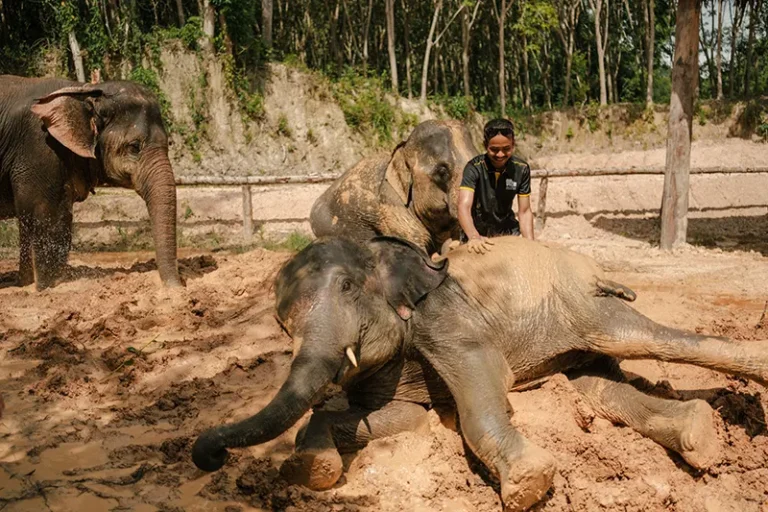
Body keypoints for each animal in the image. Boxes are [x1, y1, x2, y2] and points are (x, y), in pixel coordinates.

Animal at [0, 75, 181, 290]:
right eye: (134, 147)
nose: (178, 287)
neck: (86, 90)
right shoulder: (39, 149)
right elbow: (44, 213)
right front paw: (48, 287)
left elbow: (45, 215)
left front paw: (29, 284)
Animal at [192, 235, 768, 511]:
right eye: (280, 323)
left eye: (349, 289)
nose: (208, 455)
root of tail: (592, 269)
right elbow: (401, 417)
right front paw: (311, 471)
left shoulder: (445, 316)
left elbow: (484, 383)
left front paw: (531, 483)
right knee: (600, 388)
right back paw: (698, 433)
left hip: (583, 306)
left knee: (641, 338)